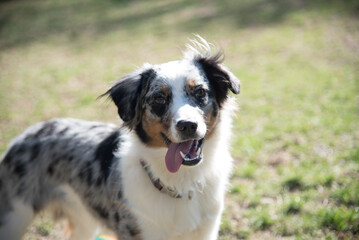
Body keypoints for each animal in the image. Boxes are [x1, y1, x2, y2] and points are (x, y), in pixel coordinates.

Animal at [0, 36, 242, 239]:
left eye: (200, 92)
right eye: (159, 99)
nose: (188, 125)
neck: (180, 181)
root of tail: (25, 134)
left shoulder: (206, 230)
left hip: (83, 222)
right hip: (14, 218)